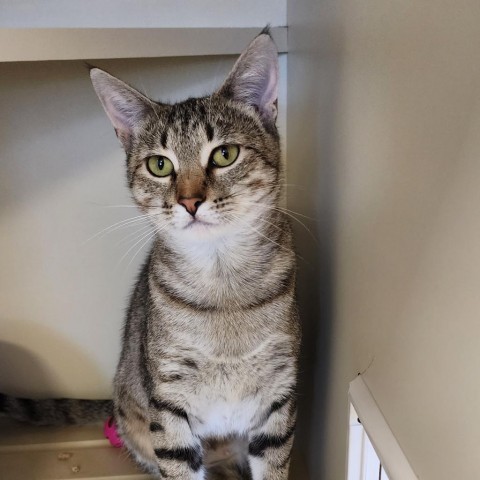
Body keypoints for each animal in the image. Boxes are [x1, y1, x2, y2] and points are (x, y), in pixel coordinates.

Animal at [0, 30, 300, 480]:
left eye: (224, 154)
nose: (190, 202)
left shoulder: (278, 399)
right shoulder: (170, 403)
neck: (223, 288)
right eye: (160, 165)